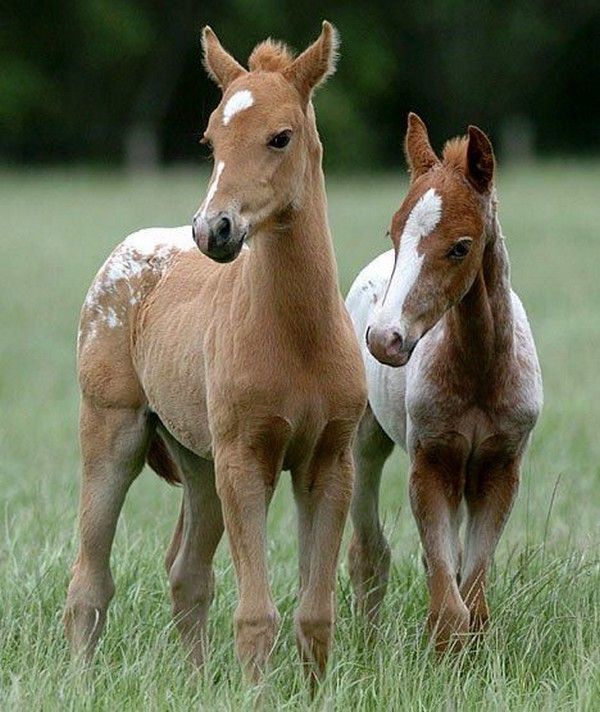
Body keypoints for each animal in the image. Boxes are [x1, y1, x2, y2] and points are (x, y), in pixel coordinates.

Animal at [64, 20, 366, 680]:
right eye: (210, 138)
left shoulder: (329, 462)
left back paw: (198, 681)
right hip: (114, 430)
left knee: (187, 575)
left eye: (281, 136)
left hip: (195, 459)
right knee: (89, 581)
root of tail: (125, 251)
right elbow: (256, 616)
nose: (212, 230)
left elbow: (315, 616)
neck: (298, 338)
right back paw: (79, 681)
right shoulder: (243, 457)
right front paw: (255, 693)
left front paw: (315, 692)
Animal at [344, 115, 540, 652]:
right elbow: (449, 600)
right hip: (364, 441)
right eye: (393, 232)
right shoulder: (430, 463)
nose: (385, 338)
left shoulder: (500, 469)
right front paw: (441, 650)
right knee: (368, 551)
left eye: (460, 246)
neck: (479, 372)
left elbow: (472, 597)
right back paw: (366, 643)